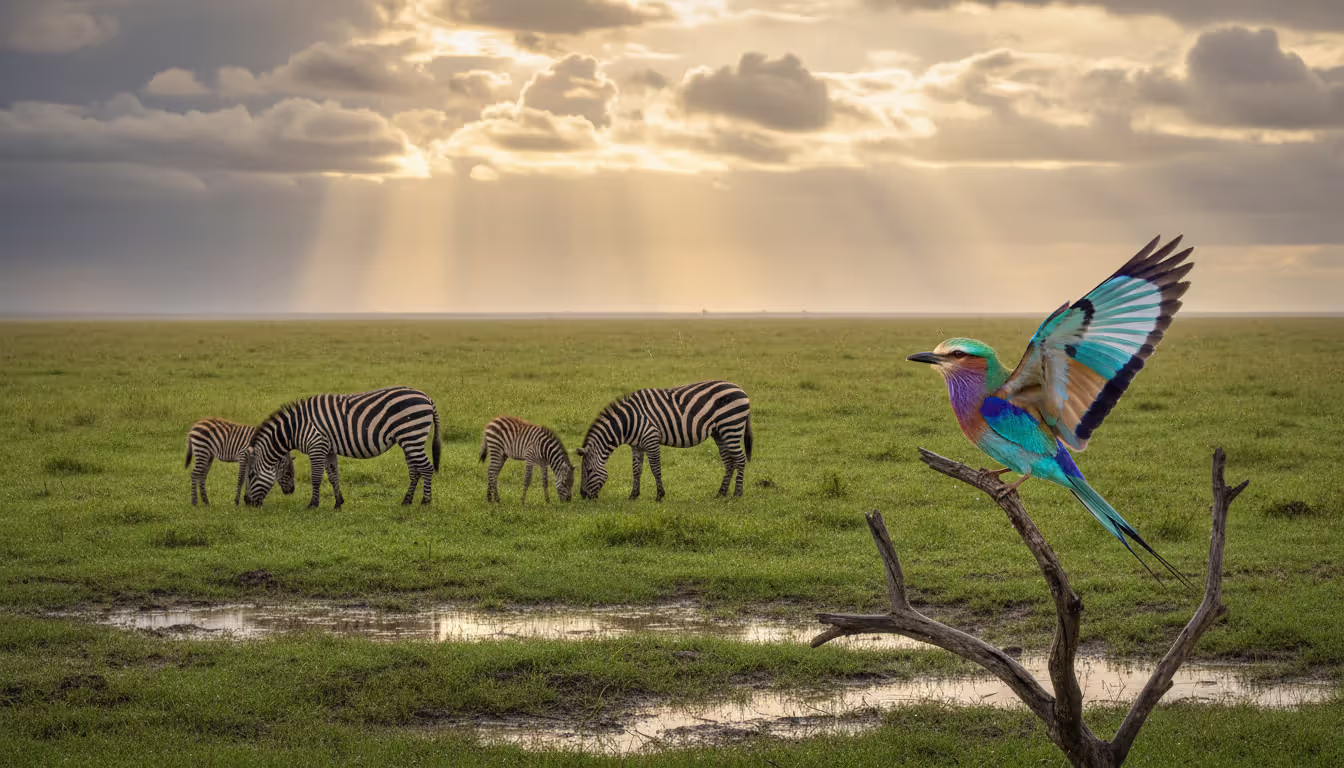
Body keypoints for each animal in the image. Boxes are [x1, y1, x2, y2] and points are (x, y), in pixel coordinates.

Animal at [242, 386, 441, 509]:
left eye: (251, 475)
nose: (246, 502)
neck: (296, 428)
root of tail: (427, 397)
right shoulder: (328, 449)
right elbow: (333, 476)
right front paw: (338, 503)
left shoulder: (316, 446)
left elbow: (316, 478)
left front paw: (312, 504)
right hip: (409, 439)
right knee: (415, 470)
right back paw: (407, 501)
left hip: (412, 434)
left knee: (426, 468)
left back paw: (425, 501)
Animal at [577, 380, 753, 501]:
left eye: (589, 471)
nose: (584, 496)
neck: (628, 421)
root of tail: (741, 389)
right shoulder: (637, 446)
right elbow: (636, 470)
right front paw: (633, 495)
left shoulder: (651, 439)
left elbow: (656, 468)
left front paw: (660, 495)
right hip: (720, 433)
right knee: (729, 461)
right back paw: (721, 493)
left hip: (731, 426)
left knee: (740, 459)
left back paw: (737, 494)